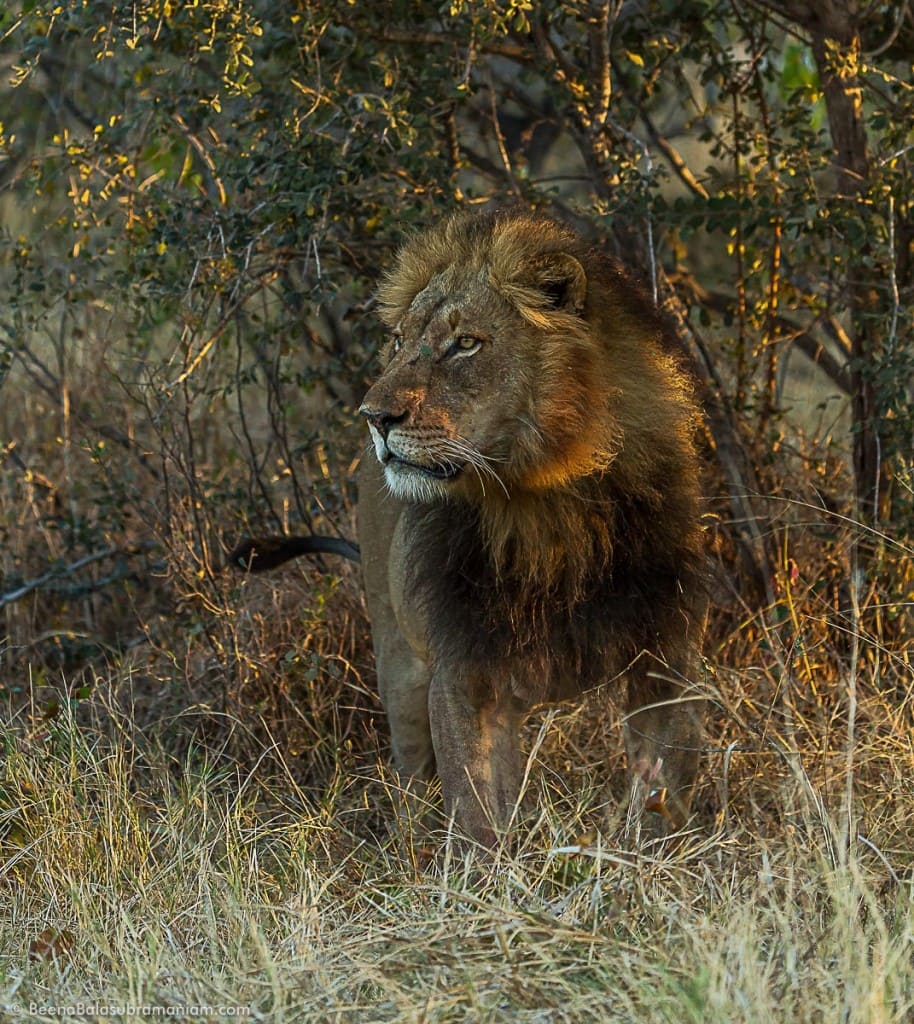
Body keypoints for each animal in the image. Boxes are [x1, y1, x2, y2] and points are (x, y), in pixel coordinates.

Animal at [356, 209, 704, 847]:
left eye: (465, 344)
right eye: (398, 342)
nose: (374, 417)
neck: (542, 497)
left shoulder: (664, 649)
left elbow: (662, 782)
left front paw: (659, 855)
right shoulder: (461, 666)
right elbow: (474, 811)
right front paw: (485, 874)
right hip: (400, 664)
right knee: (413, 777)